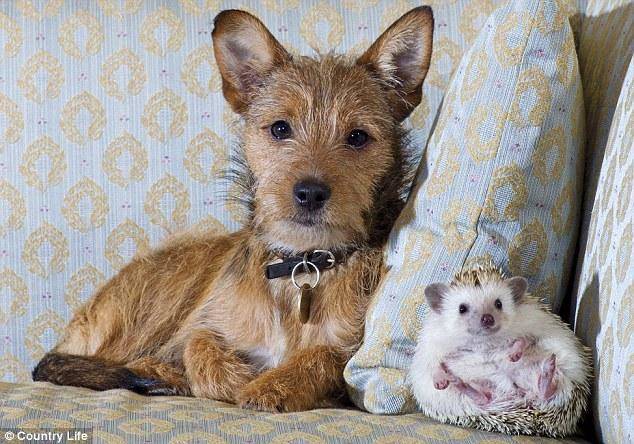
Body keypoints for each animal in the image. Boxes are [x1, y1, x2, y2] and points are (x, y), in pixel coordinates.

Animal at [32, 6, 432, 412]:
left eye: (358, 137)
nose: (309, 193)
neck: (300, 267)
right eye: (280, 128)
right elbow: (199, 348)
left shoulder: (348, 351)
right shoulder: (202, 324)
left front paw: (269, 388)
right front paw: (231, 380)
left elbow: (323, 356)